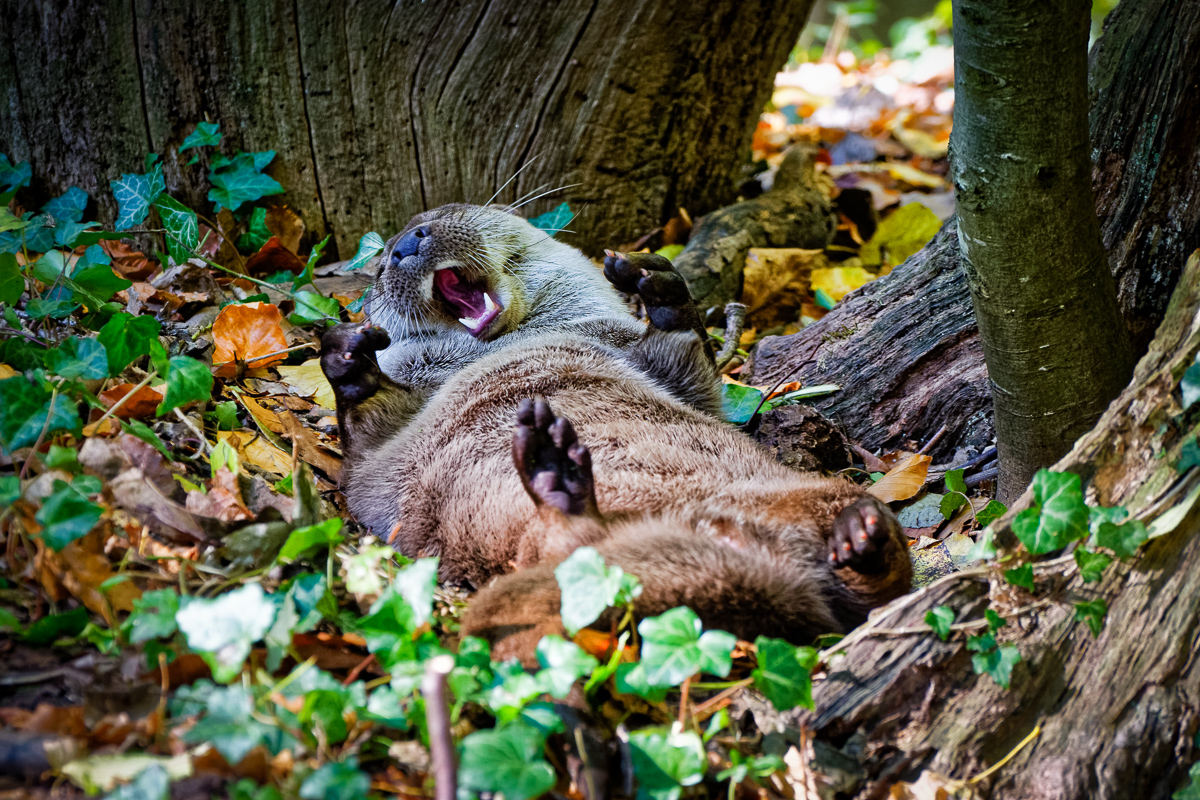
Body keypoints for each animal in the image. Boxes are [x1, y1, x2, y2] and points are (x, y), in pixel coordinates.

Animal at [321, 206, 907, 662]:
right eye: (379, 266)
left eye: (438, 215)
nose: (404, 245)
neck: (509, 343)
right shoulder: (389, 460)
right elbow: (365, 446)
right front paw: (348, 360)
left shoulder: (641, 355)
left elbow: (688, 364)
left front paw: (658, 283)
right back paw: (559, 479)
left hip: (815, 493)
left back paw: (861, 538)